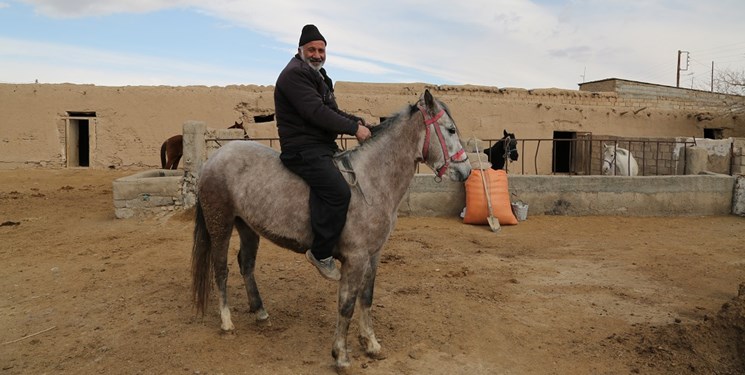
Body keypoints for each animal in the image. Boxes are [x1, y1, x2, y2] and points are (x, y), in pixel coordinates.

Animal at [192, 89, 470, 368]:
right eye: (450, 130)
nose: (466, 170)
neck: (370, 181)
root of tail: (213, 158)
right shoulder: (356, 258)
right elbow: (346, 304)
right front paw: (341, 356)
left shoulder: (373, 255)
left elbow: (366, 297)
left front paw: (370, 343)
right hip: (221, 223)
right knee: (221, 269)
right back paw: (226, 322)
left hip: (248, 226)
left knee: (246, 264)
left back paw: (260, 311)